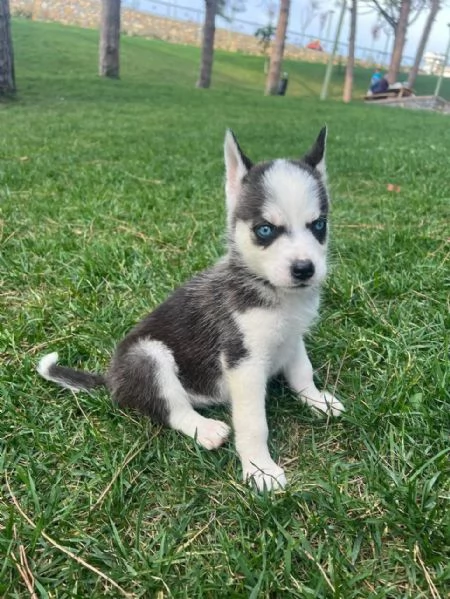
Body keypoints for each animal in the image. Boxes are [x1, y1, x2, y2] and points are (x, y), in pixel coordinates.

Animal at [37, 129, 342, 490]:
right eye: (265, 230)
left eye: (318, 225)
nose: (304, 269)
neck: (273, 292)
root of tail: (111, 380)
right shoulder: (242, 362)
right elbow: (253, 423)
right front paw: (260, 469)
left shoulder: (293, 337)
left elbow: (302, 372)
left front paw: (317, 400)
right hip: (147, 355)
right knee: (171, 409)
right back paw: (205, 428)